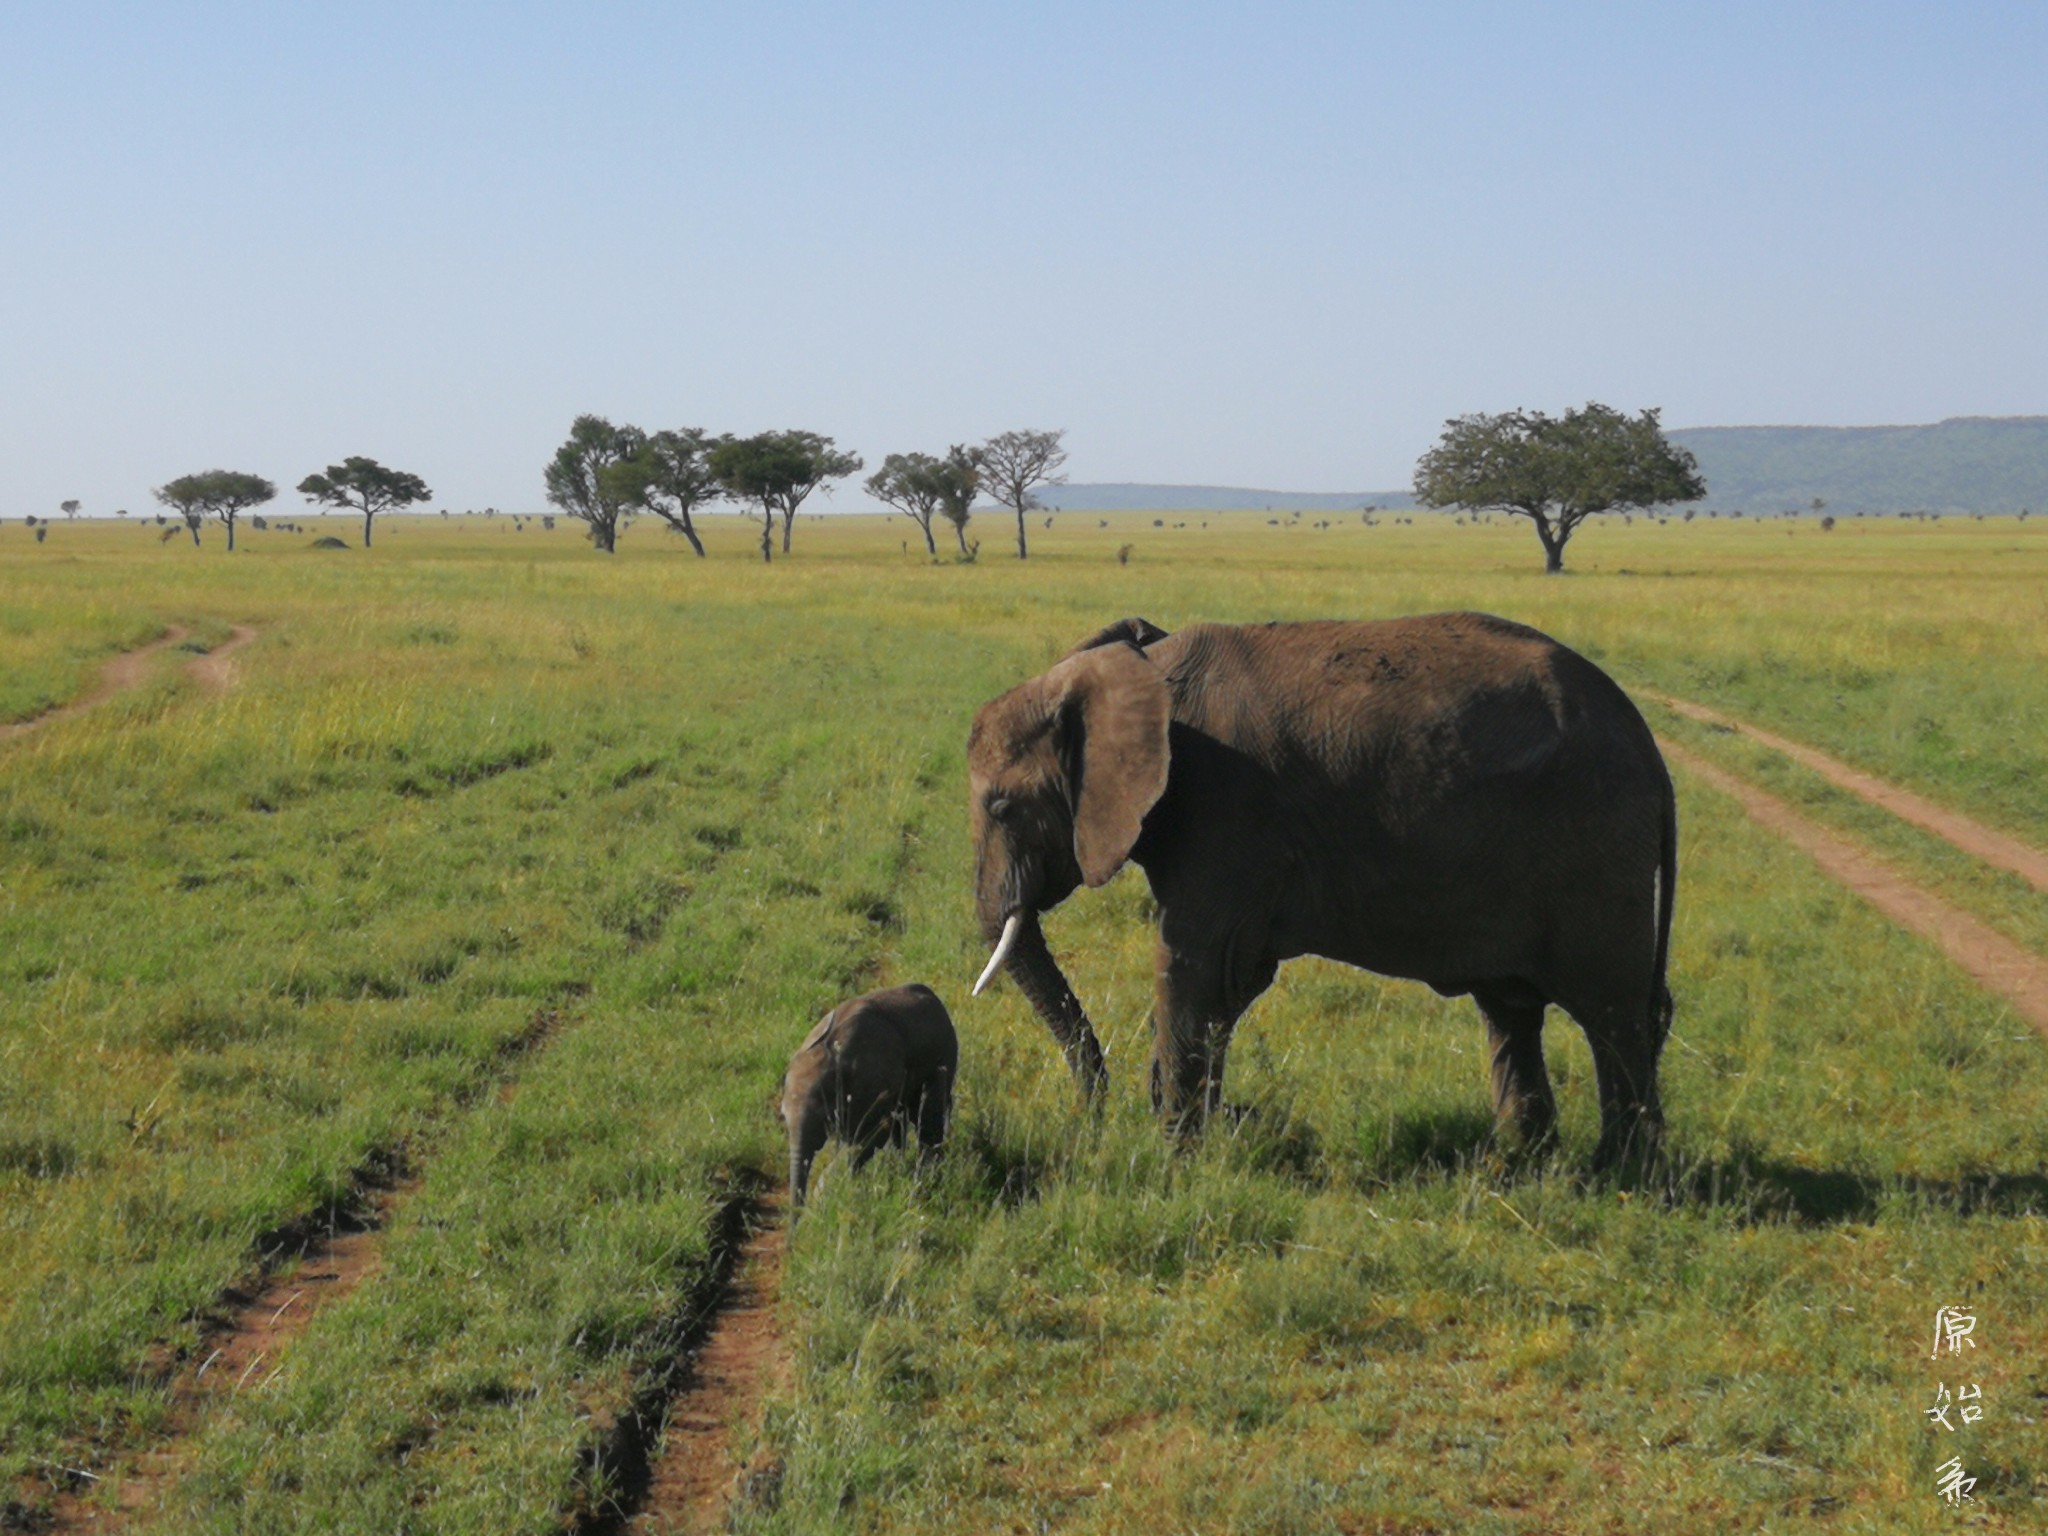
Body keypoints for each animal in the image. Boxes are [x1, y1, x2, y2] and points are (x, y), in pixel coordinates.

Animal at [774, 987, 958, 1212]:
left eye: (822, 1120)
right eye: (783, 1117)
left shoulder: (872, 1082)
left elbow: (872, 1137)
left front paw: (827, 1196)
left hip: (944, 1051)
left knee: (929, 1117)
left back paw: (926, 1180)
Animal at [966, 614, 1671, 1163]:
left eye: (1001, 808)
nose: (1090, 1120)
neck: (1140, 676)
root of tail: (1646, 740)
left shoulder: (1224, 805)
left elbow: (1194, 962)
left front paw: (1173, 1156)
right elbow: (1234, 979)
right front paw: (1202, 1133)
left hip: (1595, 845)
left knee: (1613, 1015)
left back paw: (1616, 1176)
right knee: (1512, 1010)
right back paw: (1523, 1161)